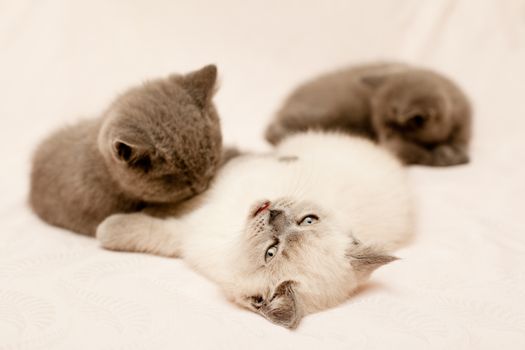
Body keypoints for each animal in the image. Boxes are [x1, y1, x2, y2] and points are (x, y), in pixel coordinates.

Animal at [95, 131, 414, 328]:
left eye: (270, 252)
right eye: (309, 220)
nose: (273, 214)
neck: (233, 230)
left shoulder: (188, 237)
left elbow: (149, 229)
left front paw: (107, 227)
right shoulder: (231, 182)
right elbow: (196, 192)